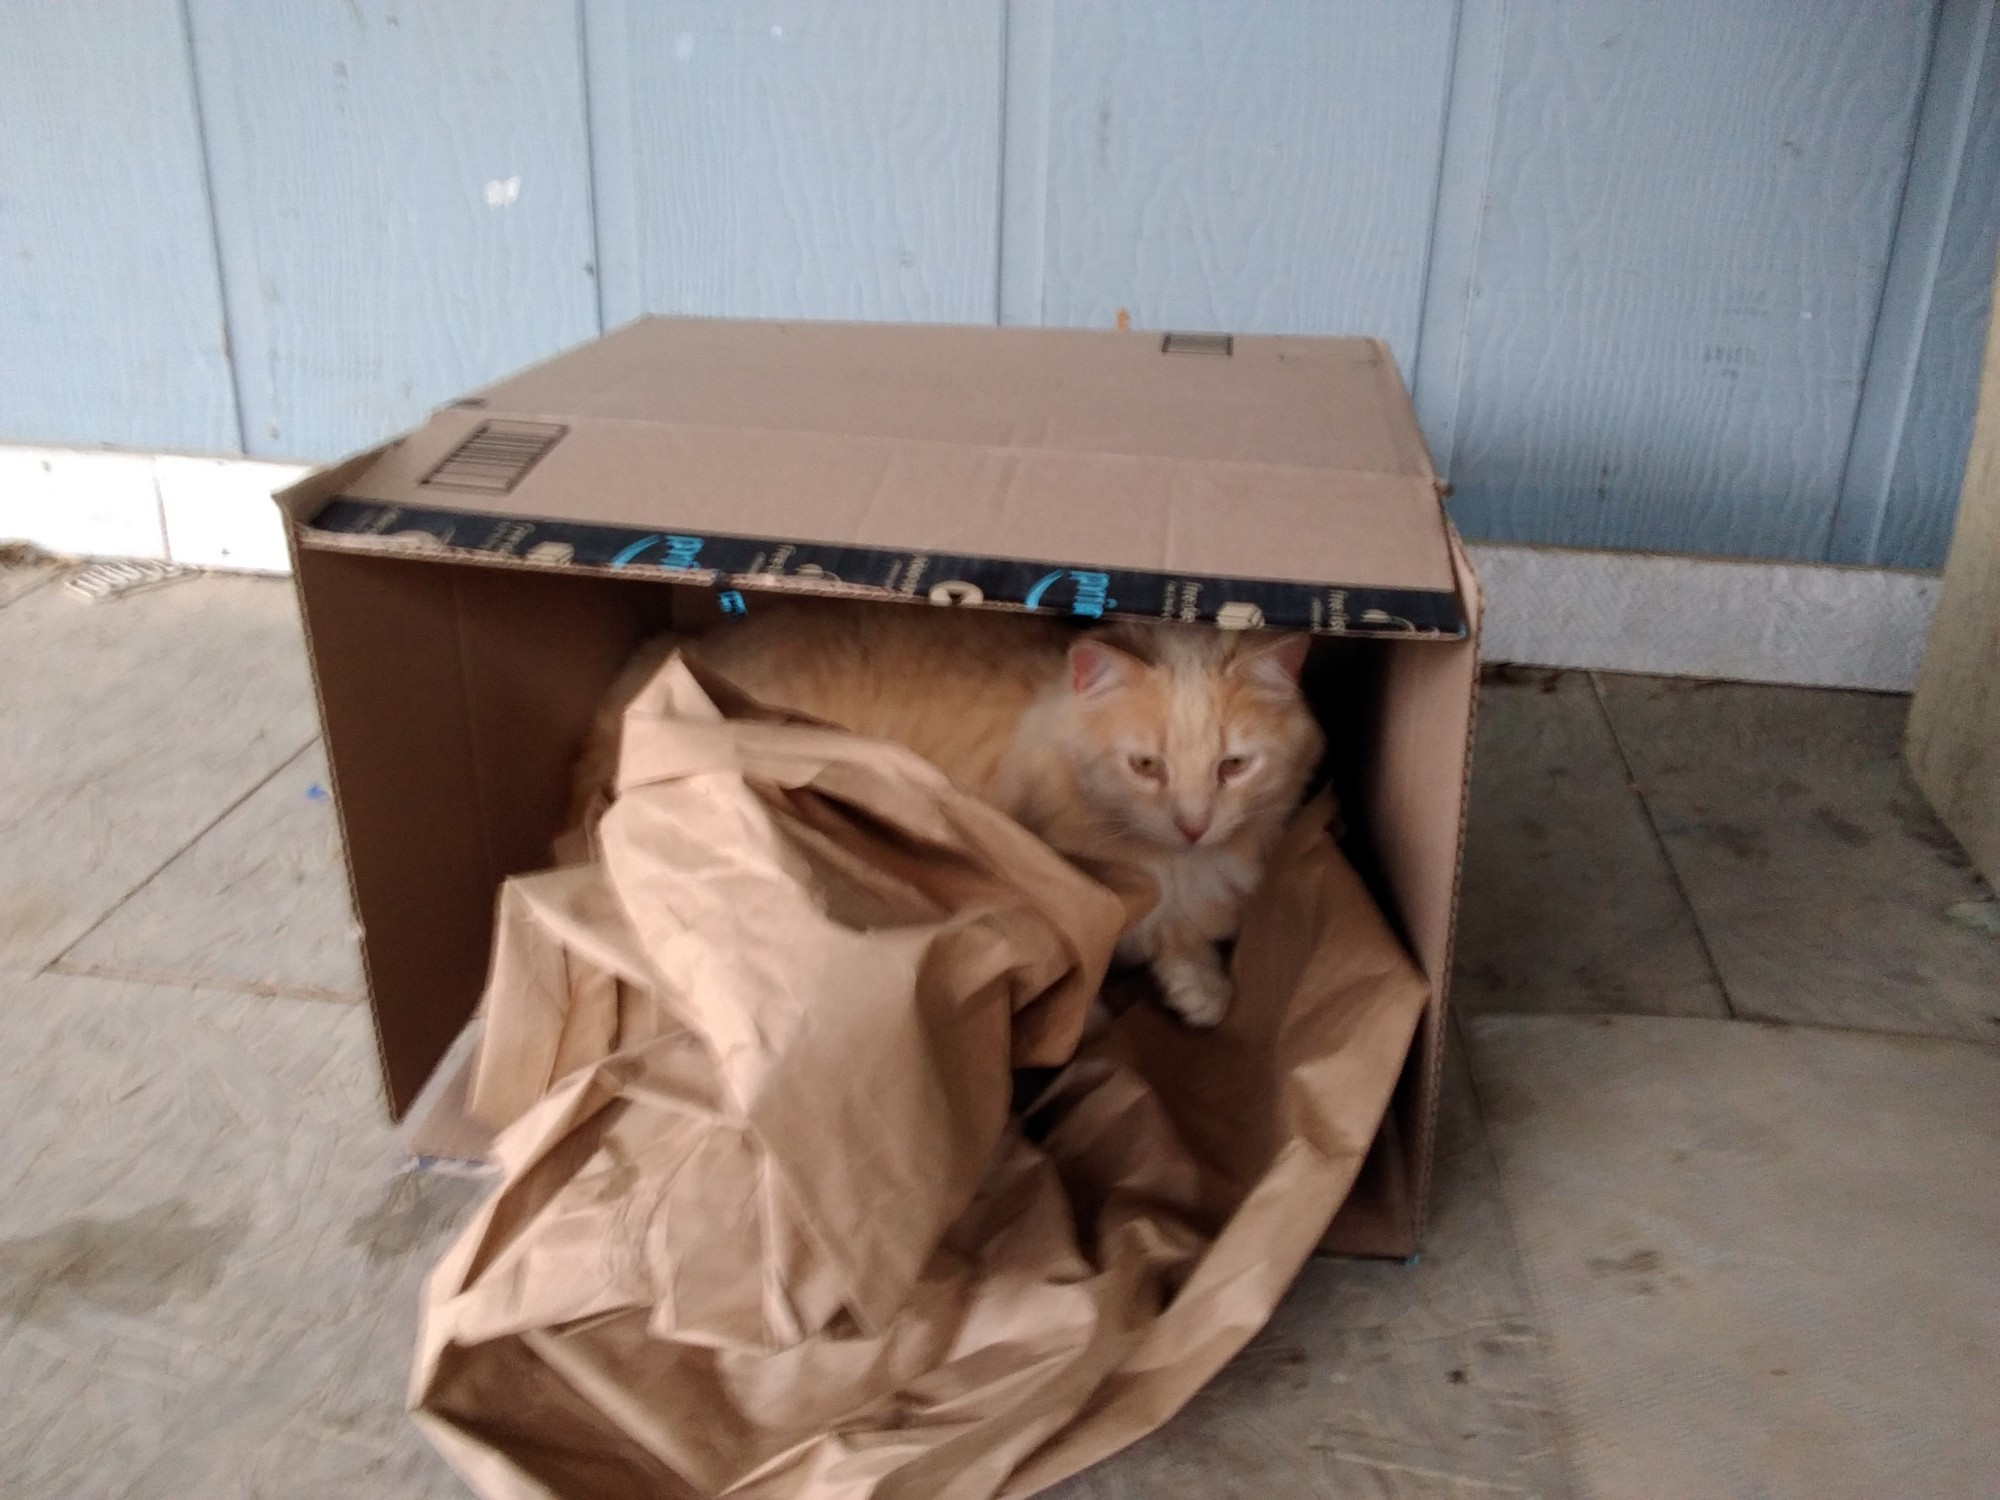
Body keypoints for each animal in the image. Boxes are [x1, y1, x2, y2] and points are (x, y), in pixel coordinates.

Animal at [576, 604, 1328, 1032]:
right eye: (1147, 766)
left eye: (1234, 767)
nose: (1194, 824)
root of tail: (666, 652)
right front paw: (1094, 1021)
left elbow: (1191, 946)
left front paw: (1202, 992)